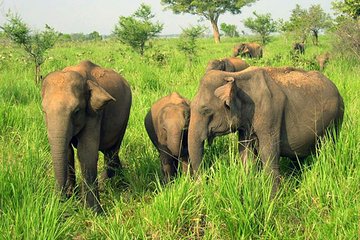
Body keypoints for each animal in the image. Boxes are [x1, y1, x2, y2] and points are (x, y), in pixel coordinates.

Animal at [41, 60, 132, 212]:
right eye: (44, 111)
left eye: (77, 111)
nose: (59, 201)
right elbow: (68, 152)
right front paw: (71, 196)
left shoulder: (94, 113)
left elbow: (86, 154)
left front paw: (93, 211)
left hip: (125, 115)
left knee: (112, 149)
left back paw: (107, 182)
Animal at [188, 65, 344, 195]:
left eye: (205, 110)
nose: (202, 185)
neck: (235, 76)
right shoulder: (246, 122)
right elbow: (245, 153)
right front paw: (248, 187)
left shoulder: (270, 114)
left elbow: (268, 153)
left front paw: (272, 199)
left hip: (336, 118)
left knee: (329, 148)